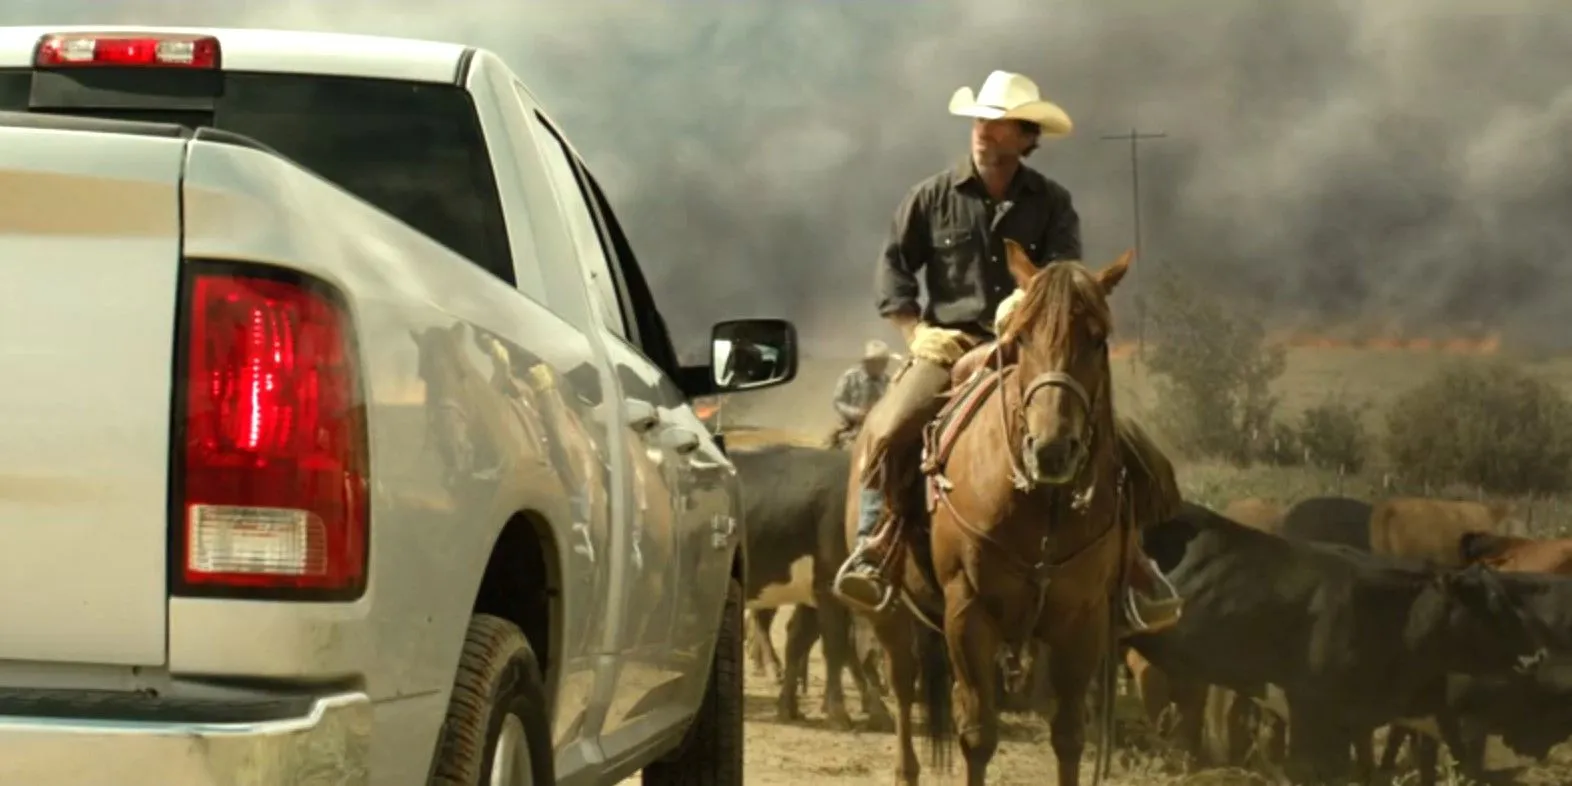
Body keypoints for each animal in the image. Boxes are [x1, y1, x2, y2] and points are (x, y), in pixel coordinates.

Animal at [732, 446, 892, 726]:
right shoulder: (829, 587)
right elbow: (838, 646)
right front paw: (840, 711)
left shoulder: (815, 595)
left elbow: (799, 640)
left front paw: (788, 707)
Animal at [848, 240, 1144, 786]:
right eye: (1021, 338)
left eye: (1098, 339)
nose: (1051, 450)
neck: (1042, 504)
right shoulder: (969, 611)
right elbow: (978, 734)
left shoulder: (1083, 619)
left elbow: (1069, 735)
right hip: (892, 612)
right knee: (902, 684)